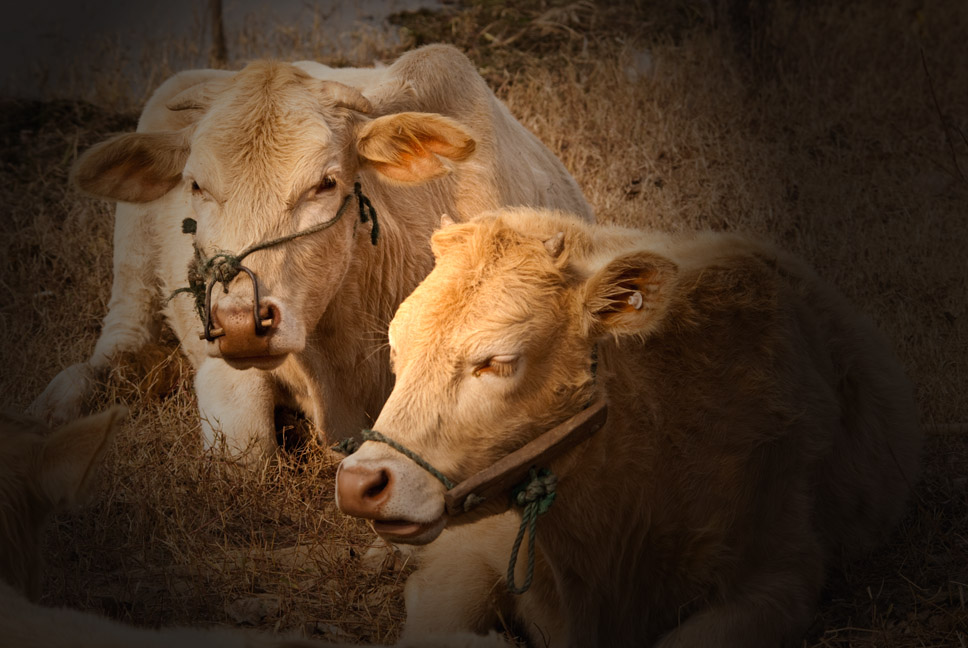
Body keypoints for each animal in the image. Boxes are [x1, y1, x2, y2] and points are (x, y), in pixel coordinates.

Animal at [30, 44, 588, 460]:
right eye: (196, 185)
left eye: (326, 183)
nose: (240, 322)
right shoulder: (225, 372)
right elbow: (247, 456)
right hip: (132, 277)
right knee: (116, 349)